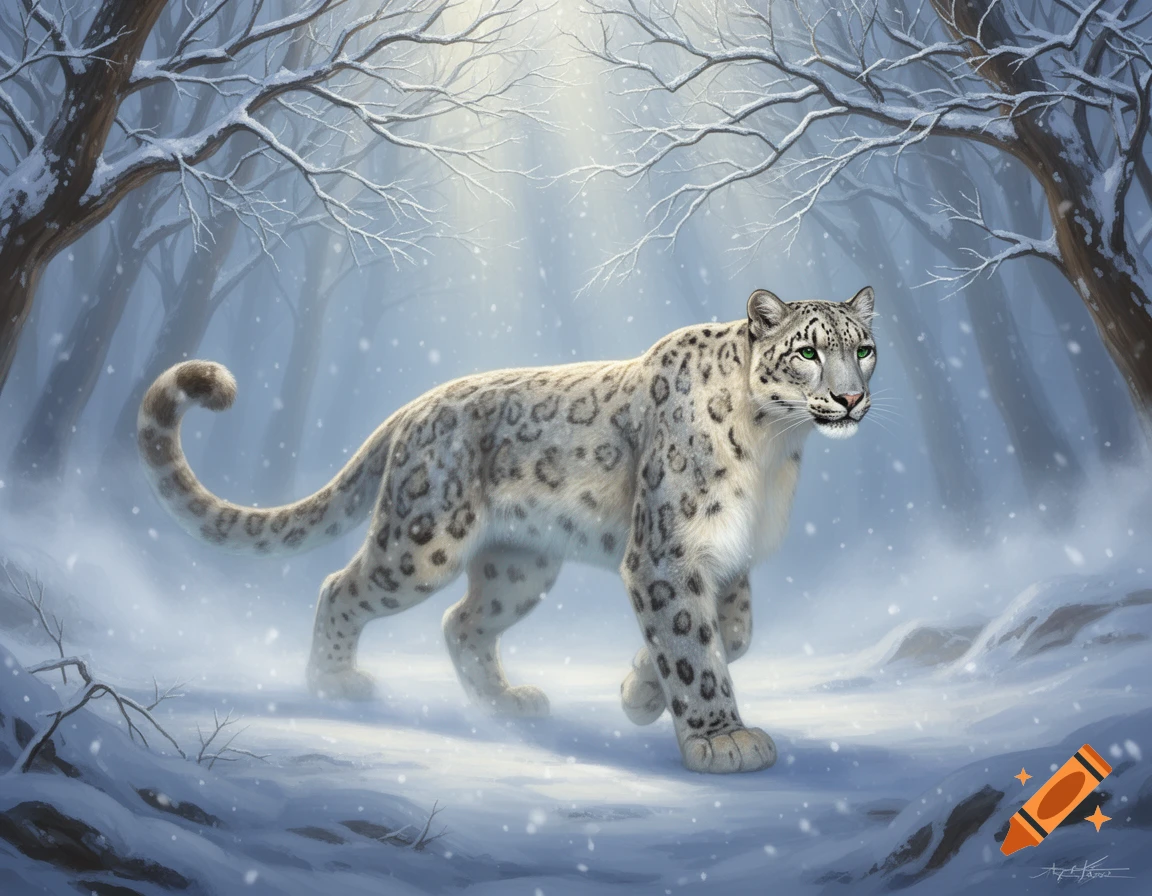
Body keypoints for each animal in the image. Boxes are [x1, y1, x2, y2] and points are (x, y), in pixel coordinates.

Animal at [137, 286, 877, 774]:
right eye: (807, 352)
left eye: (864, 349)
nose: (850, 397)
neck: (775, 451)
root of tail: (414, 407)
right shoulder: (666, 552)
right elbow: (692, 646)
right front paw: (721, 737)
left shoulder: (729, 557)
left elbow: (732, 633)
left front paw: (639, 692)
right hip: (424, 541)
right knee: (341, 586)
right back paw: (333, 683)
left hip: (519, 565)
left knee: (463, 621)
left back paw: (505, 702)